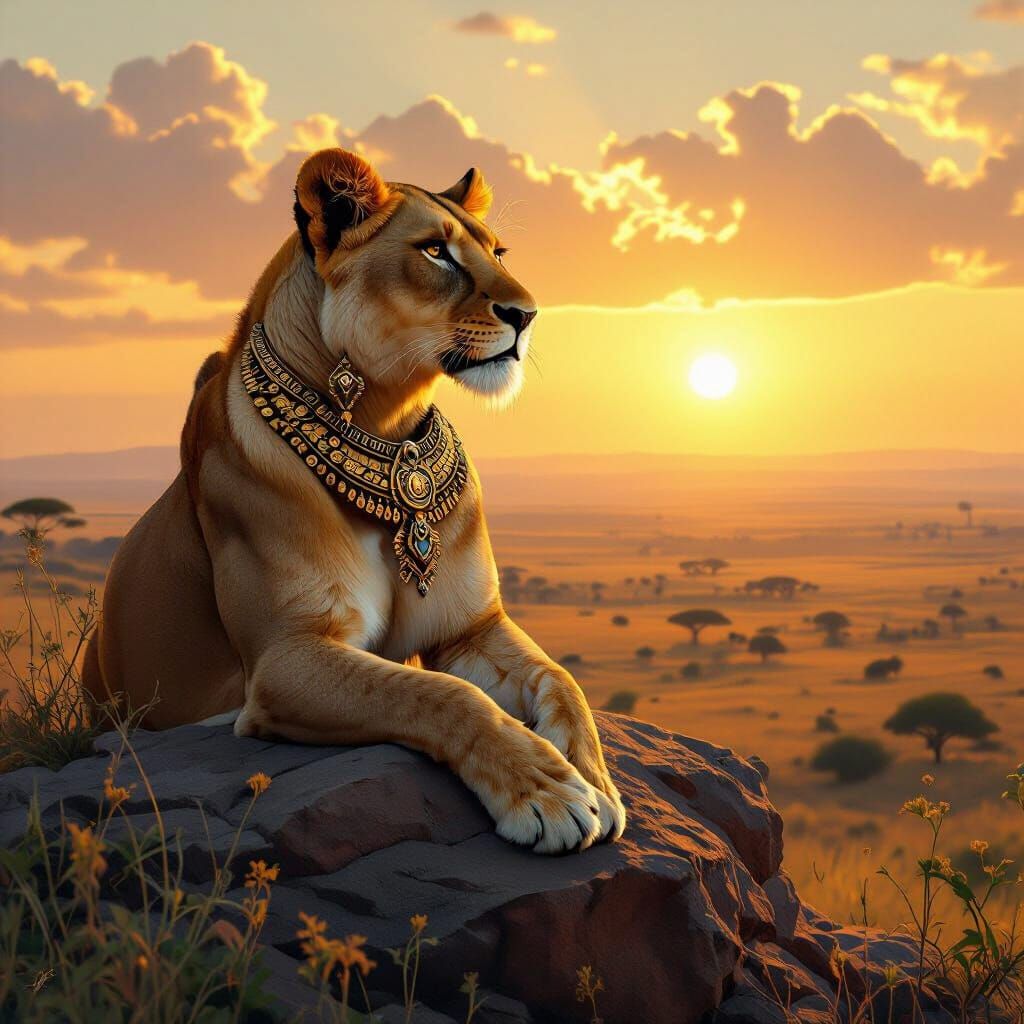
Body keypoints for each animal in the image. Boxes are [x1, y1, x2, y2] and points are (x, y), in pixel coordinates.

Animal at [83, 148, 626, 854]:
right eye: (435, 252)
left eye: (497, 251)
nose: (528, 314)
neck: (388, 429)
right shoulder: (285, 659)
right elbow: (438, 694)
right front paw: (548, 794)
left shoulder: (469, 627)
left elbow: (561, 679)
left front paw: (597, 782)